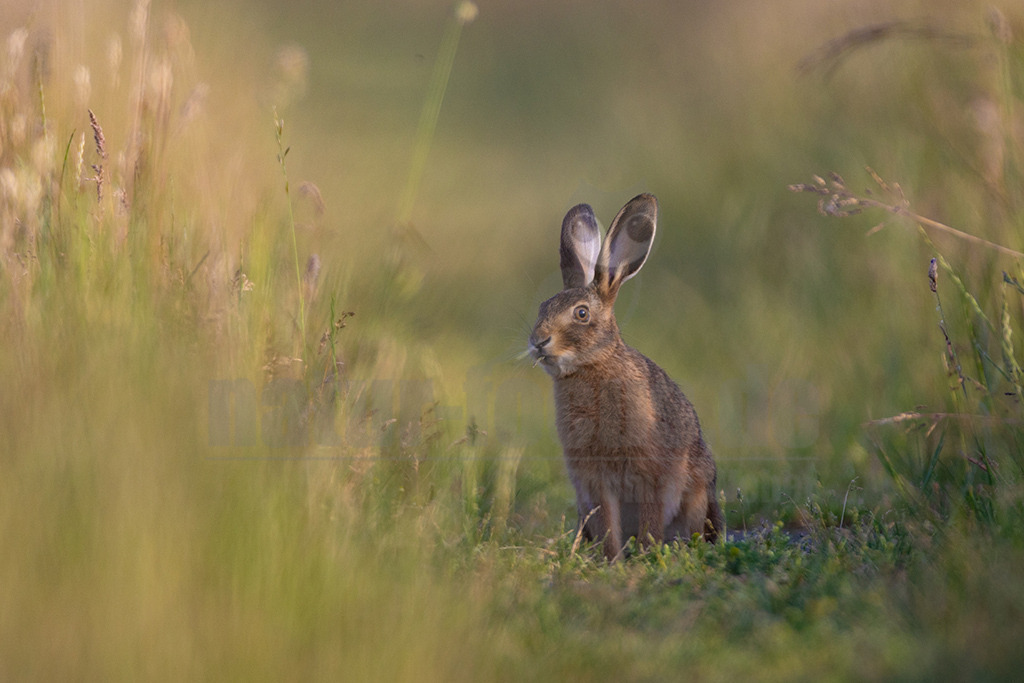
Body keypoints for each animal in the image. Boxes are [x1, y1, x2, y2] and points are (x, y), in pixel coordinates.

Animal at [528, 193, 722, 561]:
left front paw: (645, 556)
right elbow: (608, 522)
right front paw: (612, 560)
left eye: (582, 313)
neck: (593, 366)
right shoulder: (593, 481)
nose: (538, 341)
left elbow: (650, 517)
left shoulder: (652, 474)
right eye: (542, 307)